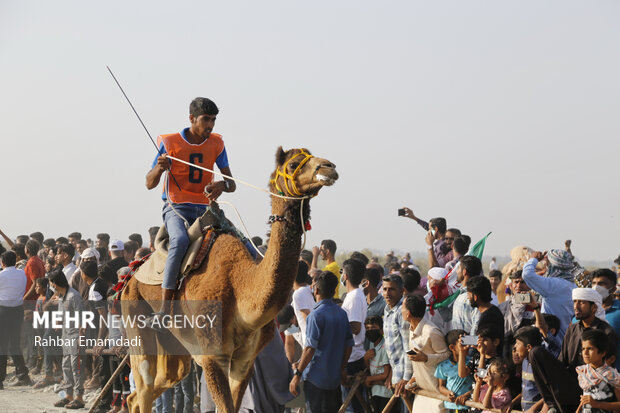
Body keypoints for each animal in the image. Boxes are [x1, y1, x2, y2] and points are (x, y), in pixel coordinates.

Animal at [120, 147, 340, 412]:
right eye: (294, 163)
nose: (329, 167)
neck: (242, 287)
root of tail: (131, 274)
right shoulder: (213, 355)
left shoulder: (245, 360)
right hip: (134, 314)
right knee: (144, 386)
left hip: (175, 349)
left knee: (148, 389)